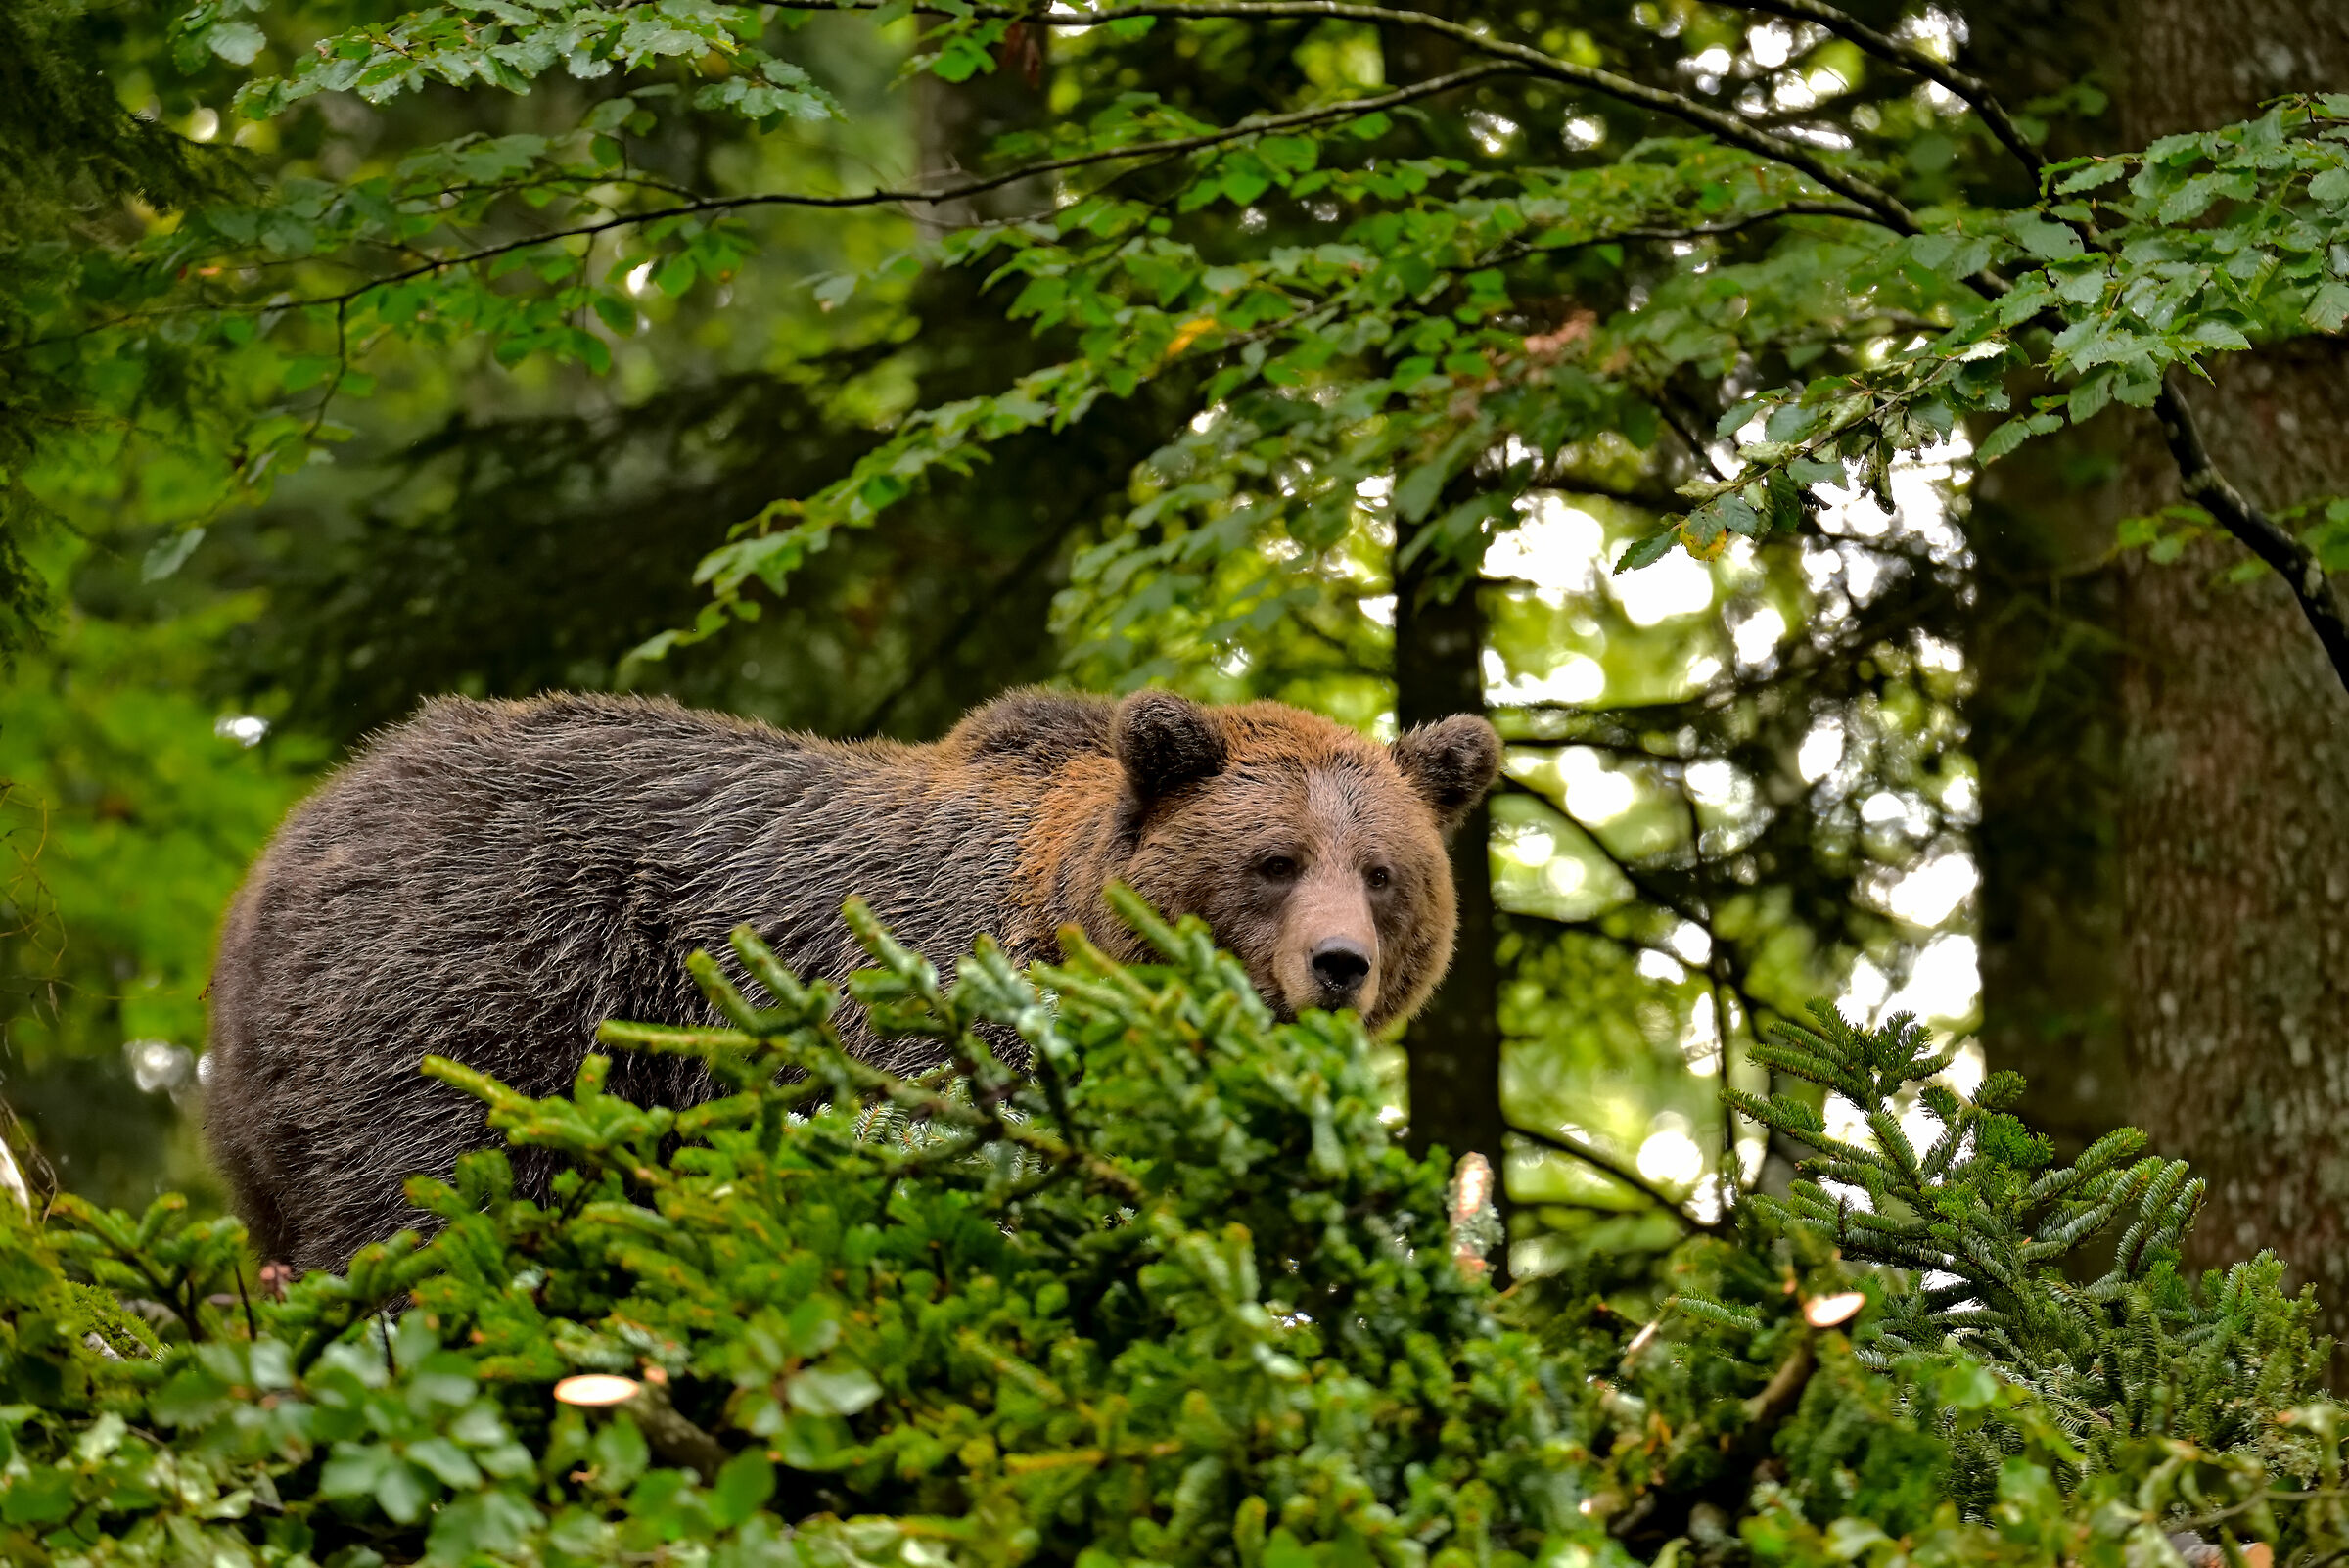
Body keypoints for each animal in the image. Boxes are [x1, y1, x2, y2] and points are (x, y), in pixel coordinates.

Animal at [203, 687, 1502, 1273]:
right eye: (1275, 860)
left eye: (1381, 872)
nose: (1338, 966)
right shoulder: (941, 1003)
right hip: (474, 969)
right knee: (430, 1175)